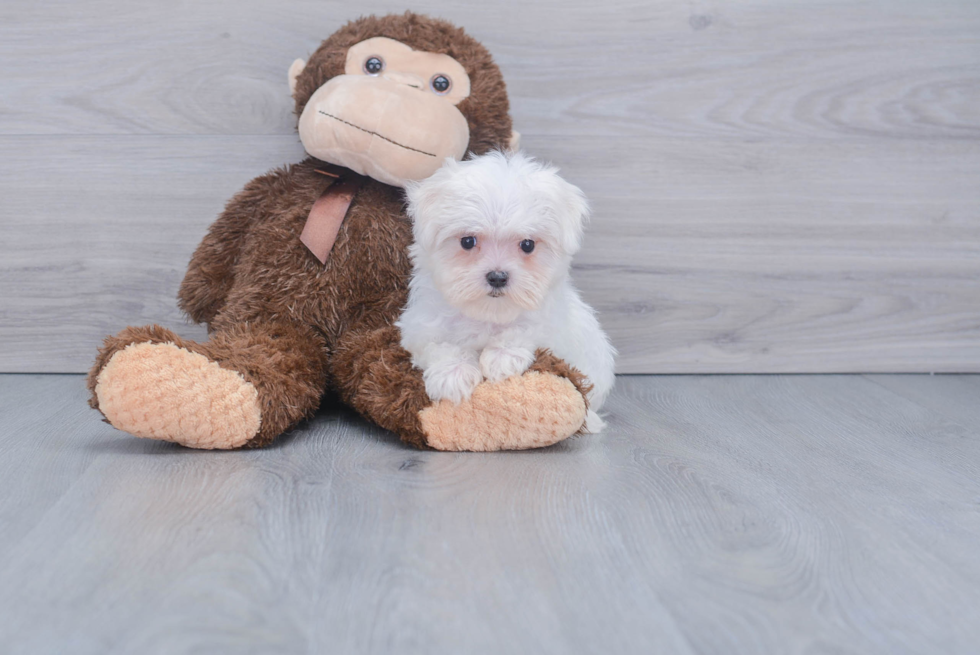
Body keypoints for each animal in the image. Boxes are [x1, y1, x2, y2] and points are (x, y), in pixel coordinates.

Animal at [396, 151, 612, 434]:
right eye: (467, 241)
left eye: (527, 245)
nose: (497, 277)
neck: (489, 314)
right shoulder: (420, 327)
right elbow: (440, 344)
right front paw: (453, 375)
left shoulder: (552, 325)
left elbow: (525, 328)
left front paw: (502, 357)